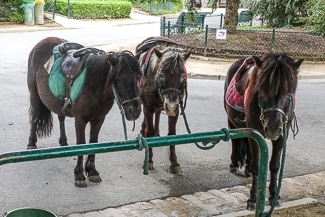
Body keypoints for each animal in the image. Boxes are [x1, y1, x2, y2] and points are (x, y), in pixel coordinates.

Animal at [26, 36, 140, 187]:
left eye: (138, 78)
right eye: (119, 79)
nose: (135, 110)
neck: (93, 85)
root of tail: (43, 41)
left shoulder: (99, 119)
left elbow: (93, 142)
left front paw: (92, 171)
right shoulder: (80, 120)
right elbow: (82, 143)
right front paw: (79, 174)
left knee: (61, 117)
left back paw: (63, 143)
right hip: (34, 94)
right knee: (35, 116)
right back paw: (31, 143)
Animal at [134, 36, 190, 174]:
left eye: (183, 76)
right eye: (161, 75)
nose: (170, 106)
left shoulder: (176, 108)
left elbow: (172, 133)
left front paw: (174, 162)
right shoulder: (148, 108)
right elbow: (149, 132)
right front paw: (148, 161)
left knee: (158, 113)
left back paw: (157, 133)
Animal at [224, 52, 302, 210]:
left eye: (289, 93)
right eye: (262, 90)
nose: (272, 128)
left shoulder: (282, 136)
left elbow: (274, 166)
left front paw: (274, 197)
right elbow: (257, 166)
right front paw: (253, 199)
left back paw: (246, 168)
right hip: (231, 120)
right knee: (236, 140)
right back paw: (234, 164)